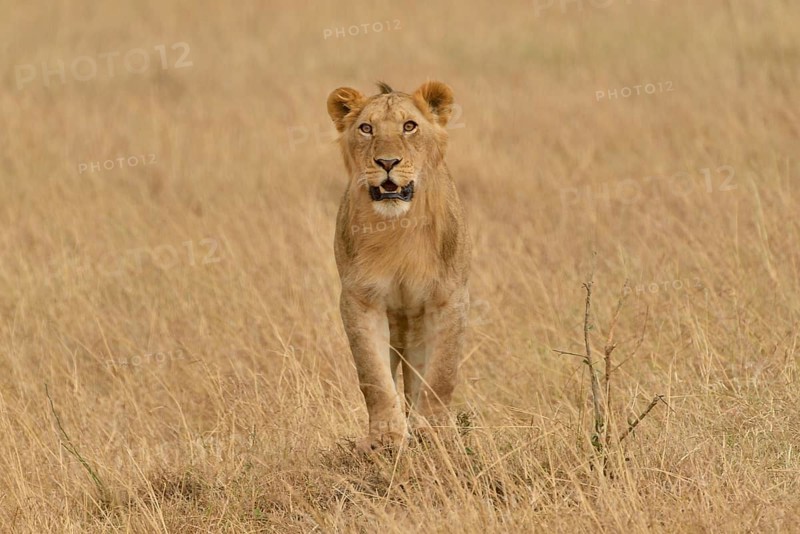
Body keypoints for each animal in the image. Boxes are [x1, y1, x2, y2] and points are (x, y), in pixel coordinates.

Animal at [326, 81, 471, 452]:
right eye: (366, 128)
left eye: (409, 126)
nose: (387, 162)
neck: (398, 227)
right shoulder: (360, 300)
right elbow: (373, 376)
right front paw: (386, 437)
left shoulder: (449, 299)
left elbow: (442, 374)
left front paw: (434, 433)